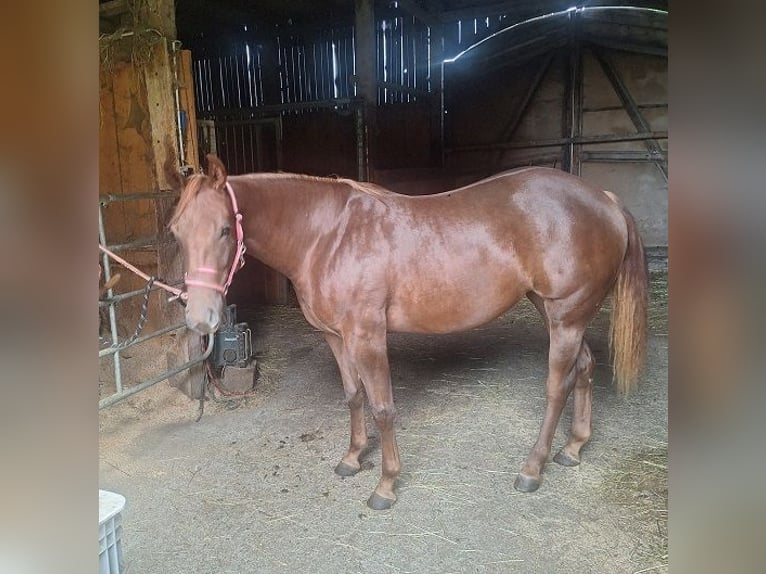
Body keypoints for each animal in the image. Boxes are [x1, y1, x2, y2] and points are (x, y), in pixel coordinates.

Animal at [167, 155, 648, 510]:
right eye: (176, 232)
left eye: (225, 229)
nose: (201, 319)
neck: (326, 235)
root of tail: (604, 199)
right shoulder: (336, 337)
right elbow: (354, 396)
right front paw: (352, 458)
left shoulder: (367, 336)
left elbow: (383, 407)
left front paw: (385, 485)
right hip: (554, 312)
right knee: (584, 368)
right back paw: (574, 447)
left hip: (566, 317)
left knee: (556, 387)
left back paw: (532, 469)